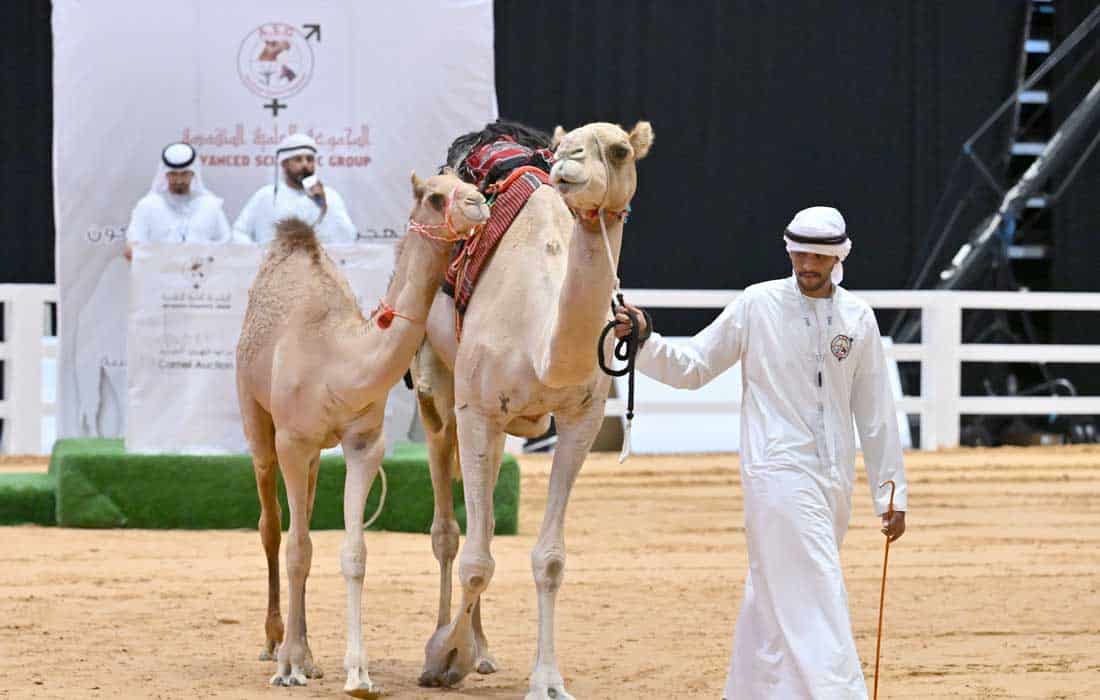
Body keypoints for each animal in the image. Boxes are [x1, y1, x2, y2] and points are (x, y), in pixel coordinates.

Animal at [235, 172, 490, 697]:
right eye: (436, 195)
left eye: (466, 181)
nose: (479, 202)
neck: (338, 360)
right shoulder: (292, 440)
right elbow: (296, 549)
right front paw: (288, 666)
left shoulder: (363, 444)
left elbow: (352, 552)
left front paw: (358, 674)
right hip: (257, 416)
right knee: (272, 526)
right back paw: (275, 644)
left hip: (314, 453)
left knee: (303, 519)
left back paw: (309, 656)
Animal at [412, 120, 653, 698]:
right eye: (565, 147)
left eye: (620, 150)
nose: (569, 162)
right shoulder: (477, 409)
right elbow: (476, 559)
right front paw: (442, 656)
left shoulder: (581, 420)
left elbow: (550, 559)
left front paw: (546, 680)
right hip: (439, 392)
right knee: (448, 531)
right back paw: (449, 643)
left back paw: (484, 651)